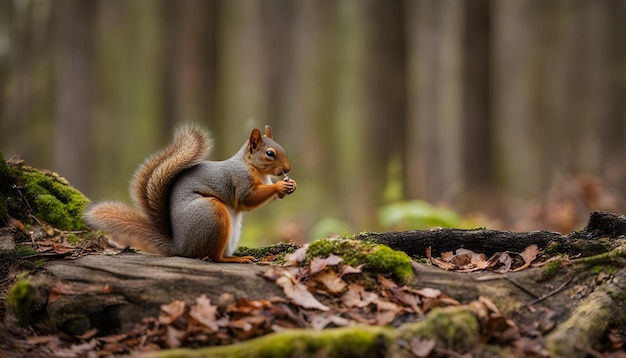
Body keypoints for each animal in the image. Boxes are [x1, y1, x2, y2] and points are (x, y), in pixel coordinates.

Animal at [82, 125, 294, 262]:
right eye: (270, 153)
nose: (288, 169)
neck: (253, 167)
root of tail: (181, 247)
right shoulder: (240, 180)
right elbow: (247, 198)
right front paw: (279, 187)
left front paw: (289, 185)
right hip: (211, 213)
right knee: (211, 257)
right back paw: (233, 260)